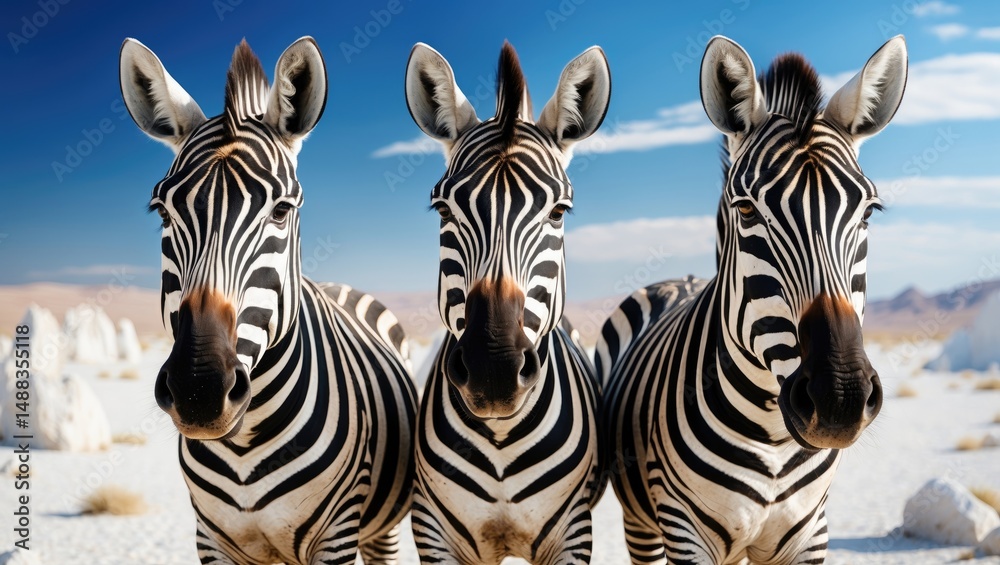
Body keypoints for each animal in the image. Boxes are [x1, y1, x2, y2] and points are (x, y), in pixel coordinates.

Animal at [119, 37, 417, 564]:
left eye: (281, 210)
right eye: (162, 211)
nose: (198, 391)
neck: (246, 439)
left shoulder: (336, 534)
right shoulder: (211, 538)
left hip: (378, 526)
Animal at [402, 41, 610, 564]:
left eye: (559, 212)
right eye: (442, 208)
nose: (492, 370)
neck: (500, 438)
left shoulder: (573, 529)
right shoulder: (432, 528)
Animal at [597, 35, 908, 564]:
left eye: (869, 212)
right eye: (746, 211)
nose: (840, 398)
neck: (771, 435)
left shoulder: (810, 533)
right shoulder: (683, 529)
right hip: (640, 522)